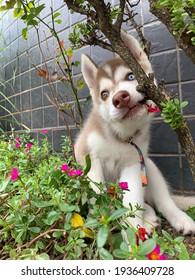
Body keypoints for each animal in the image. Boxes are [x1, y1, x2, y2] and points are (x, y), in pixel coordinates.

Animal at [74, 30, 195, 234]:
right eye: (104, 95)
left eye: (131, 77)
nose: (120, 98)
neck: (119, 136)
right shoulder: (88, 157)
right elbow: (97, 195)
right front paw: (97, 223)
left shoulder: (132, 165)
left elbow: (131, 203)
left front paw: (133, 235)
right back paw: (150, 219)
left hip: (148, 166)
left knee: (163, 202)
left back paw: (179, 219)